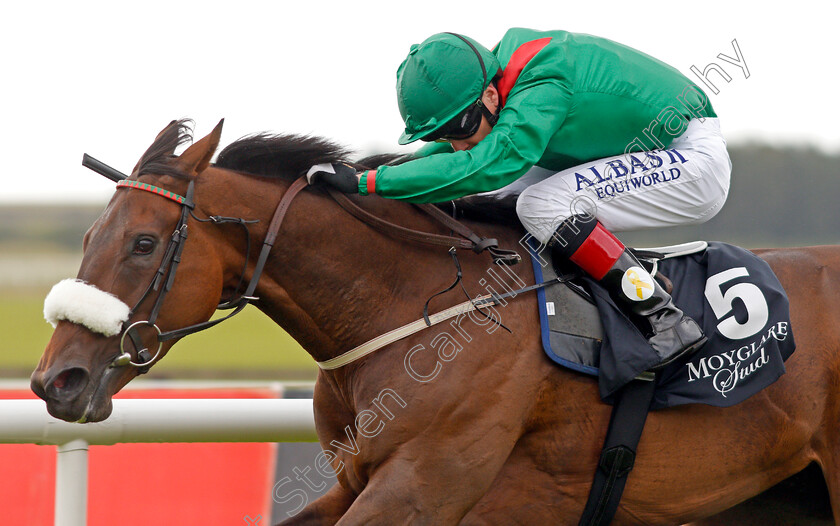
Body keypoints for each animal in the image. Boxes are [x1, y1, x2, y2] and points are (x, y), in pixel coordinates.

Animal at [29, 120, 840, 526]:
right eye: (87, 236)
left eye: (142, 243)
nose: (53, 380)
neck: (412, 310)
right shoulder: (355, 482)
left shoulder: (426, 487)